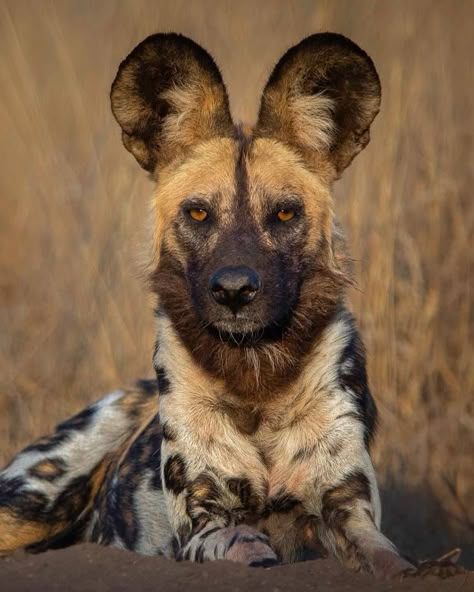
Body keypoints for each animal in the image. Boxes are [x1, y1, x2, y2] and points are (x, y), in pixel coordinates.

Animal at [0, 32, 462, 580]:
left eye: (284, 213)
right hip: (32, 502)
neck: (254, 374)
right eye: (199, 213)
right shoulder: (206, 520)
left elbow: (385, 556)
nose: (235, 290)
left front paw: (422, 569)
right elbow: (247, 547)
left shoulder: (348, 508)